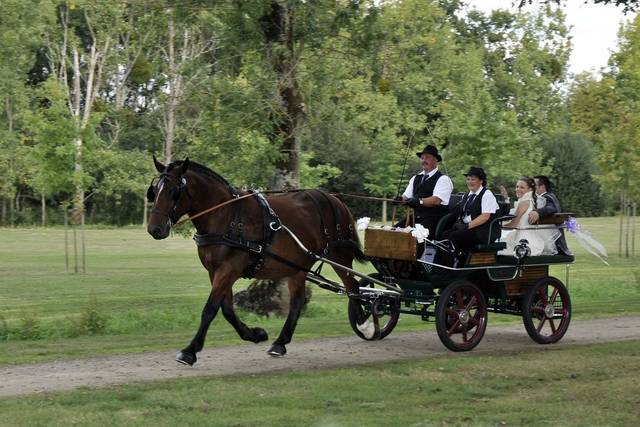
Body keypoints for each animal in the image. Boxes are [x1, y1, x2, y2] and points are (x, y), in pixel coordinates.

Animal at [146, 159, 364, 366]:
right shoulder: (215, 271)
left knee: (353, 287)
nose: (154, 229)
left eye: (174, 192)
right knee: (297, 301)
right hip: (298, 267)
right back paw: (280, 343)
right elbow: (227, 309)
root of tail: (335, 200)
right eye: (155, 191)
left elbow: (210, 309)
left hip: (339, 256)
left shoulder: (228, 270)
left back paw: (364, 321)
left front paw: (190, 351)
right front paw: (254, 334)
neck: (226, 216)